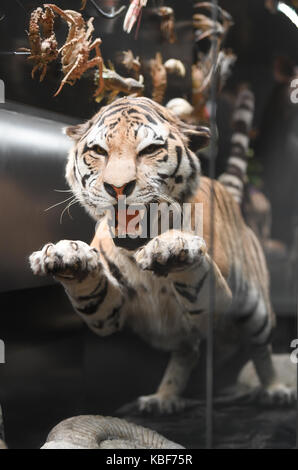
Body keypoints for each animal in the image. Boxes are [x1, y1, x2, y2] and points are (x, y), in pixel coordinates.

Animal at [29, 92, 294, 412]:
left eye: (150, 150)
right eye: (99, 151)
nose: (118, 188)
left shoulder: (216, 305)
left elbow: (198, 272)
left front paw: (173, 246)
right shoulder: (109, 313)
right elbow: (91, 290)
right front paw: (65, 255)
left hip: (258, 310)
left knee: (261, 350)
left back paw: (275, 391)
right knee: (188, 351)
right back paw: (163, 398)